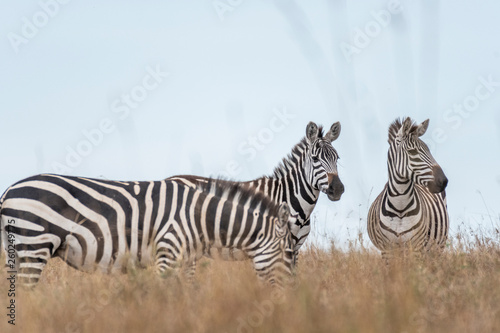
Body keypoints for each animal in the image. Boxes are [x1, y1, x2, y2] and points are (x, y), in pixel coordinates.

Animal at [0, 174, 294, 286]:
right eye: (285, 252)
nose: (287, 297)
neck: (198, 217)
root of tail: (9, 190)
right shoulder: (168, 250)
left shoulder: (185, 260)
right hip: (34, 244)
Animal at [368, 116, 450, 254]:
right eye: (412, 152)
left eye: (429, 150)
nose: (444, 181)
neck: (400, 207)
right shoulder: (387, 249)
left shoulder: (416, 247)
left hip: (436, 247)